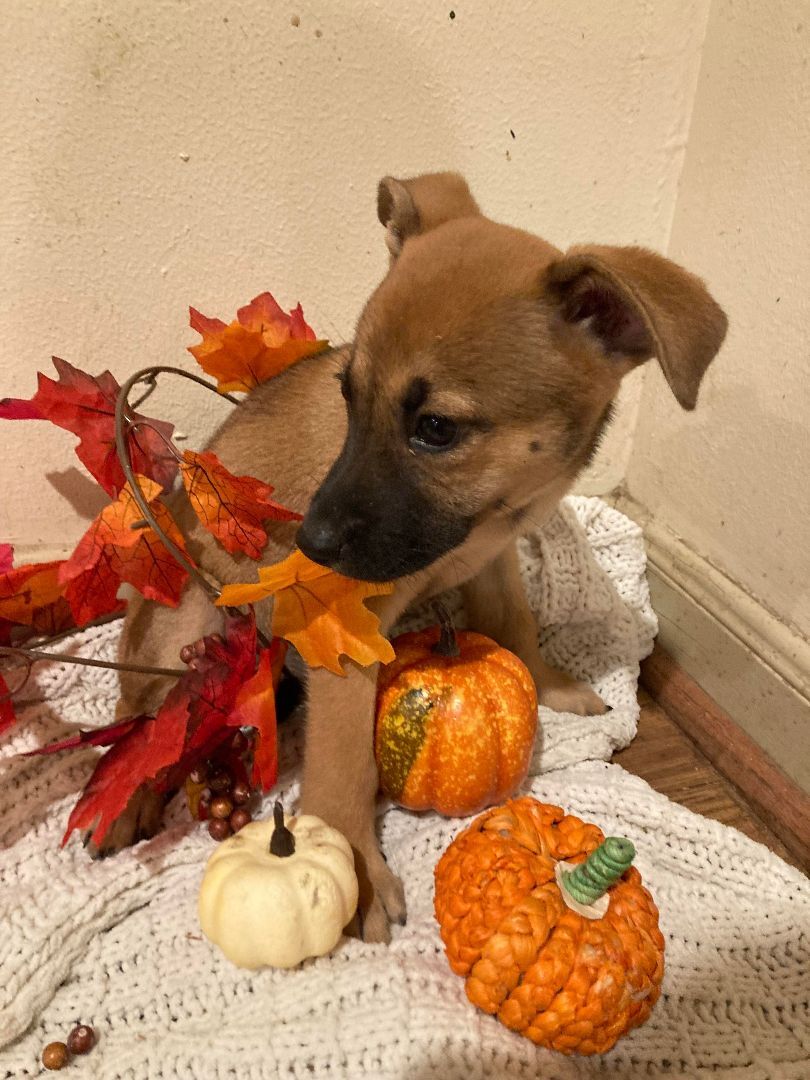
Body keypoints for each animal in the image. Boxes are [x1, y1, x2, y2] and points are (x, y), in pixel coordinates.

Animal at [108, 172, 727, 943]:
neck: (486, 515)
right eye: (347, 396)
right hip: (181, 630)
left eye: (435, 428)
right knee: (144, 724)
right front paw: (354, 867)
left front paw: (553, 684)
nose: (307, 544)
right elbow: (343, 760)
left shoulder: (492, 561)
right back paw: (129, 795)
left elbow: (517, 625)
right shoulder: (343, 634)